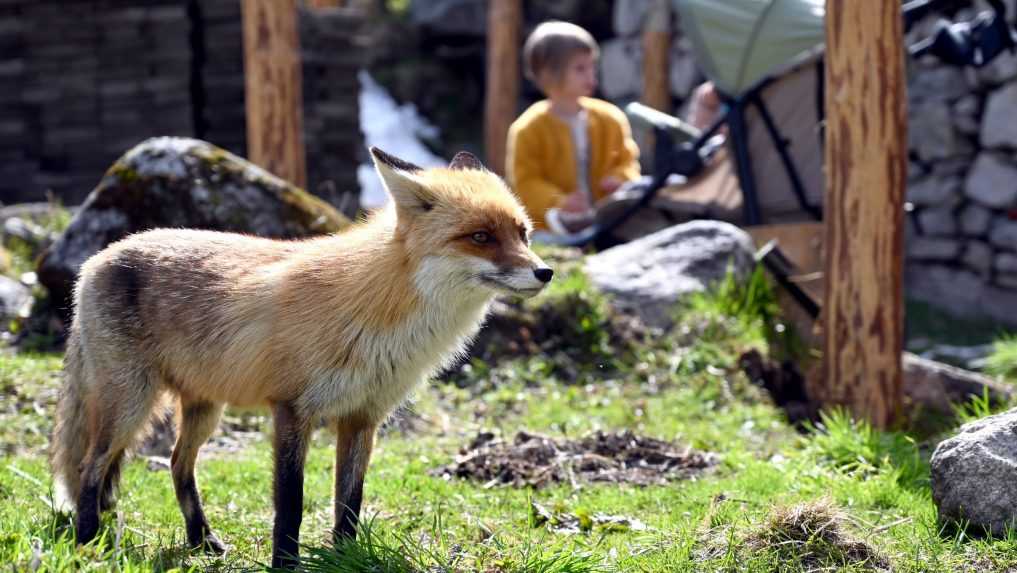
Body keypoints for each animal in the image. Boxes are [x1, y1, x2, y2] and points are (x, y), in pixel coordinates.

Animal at [51, 147, 553, 569]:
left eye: (523, 233)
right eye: (481, 237)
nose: (545, 272)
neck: (376, 312)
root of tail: (99, 257)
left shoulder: (363, 417)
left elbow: (349, 503)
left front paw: (345, 557)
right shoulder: (292, 409)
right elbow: (290, 504)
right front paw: (285, 564)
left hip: (204, 408)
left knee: (177, 464)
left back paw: (200, 540)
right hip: (130, 404)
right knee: (91, 467)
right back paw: (87, 540)